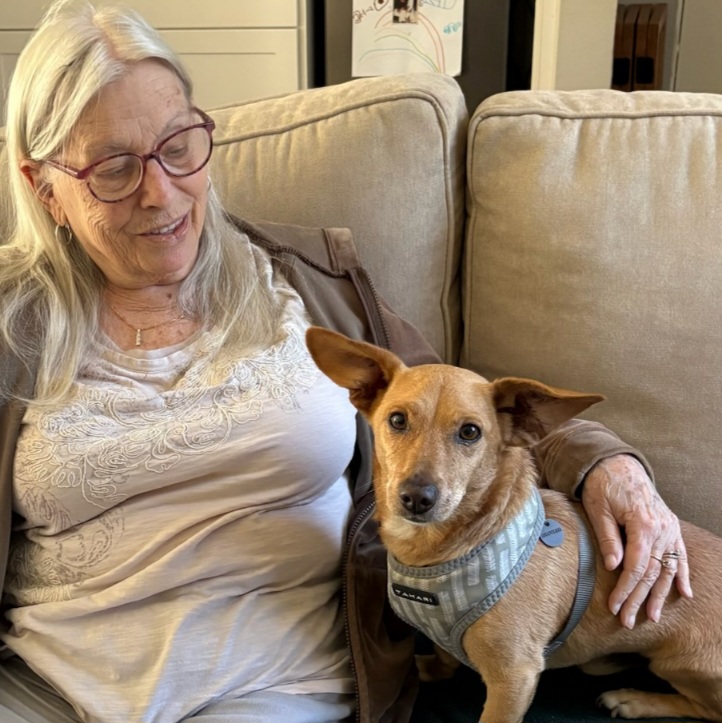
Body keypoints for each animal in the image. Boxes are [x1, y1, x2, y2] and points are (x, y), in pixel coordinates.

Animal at [306, 326, 722, 723]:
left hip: (681, 664)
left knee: (708, 710)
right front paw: (432, 668)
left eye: (470, 432)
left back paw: (634, 700)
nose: (416, 497)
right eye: (397, 420)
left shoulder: (513, 678)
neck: (441, 552)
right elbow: (445, 656)